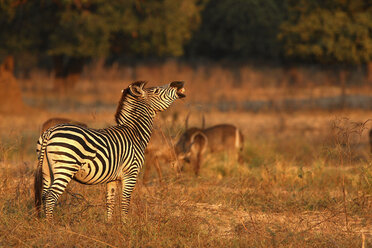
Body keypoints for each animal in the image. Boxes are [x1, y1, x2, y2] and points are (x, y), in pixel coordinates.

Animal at [35, 81, 186, 221]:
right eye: (156, 90)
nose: (178, 83)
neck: (135, 132)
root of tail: (49, 132)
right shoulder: (130, 174)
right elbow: (125, 201)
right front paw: (125, 225)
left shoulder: (112, 178)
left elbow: (110, 201)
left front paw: (109, 224)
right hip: (65, 168)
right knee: (51, 196)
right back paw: (51, 225)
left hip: (47, 170)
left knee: (44, 195)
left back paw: (44, 222)